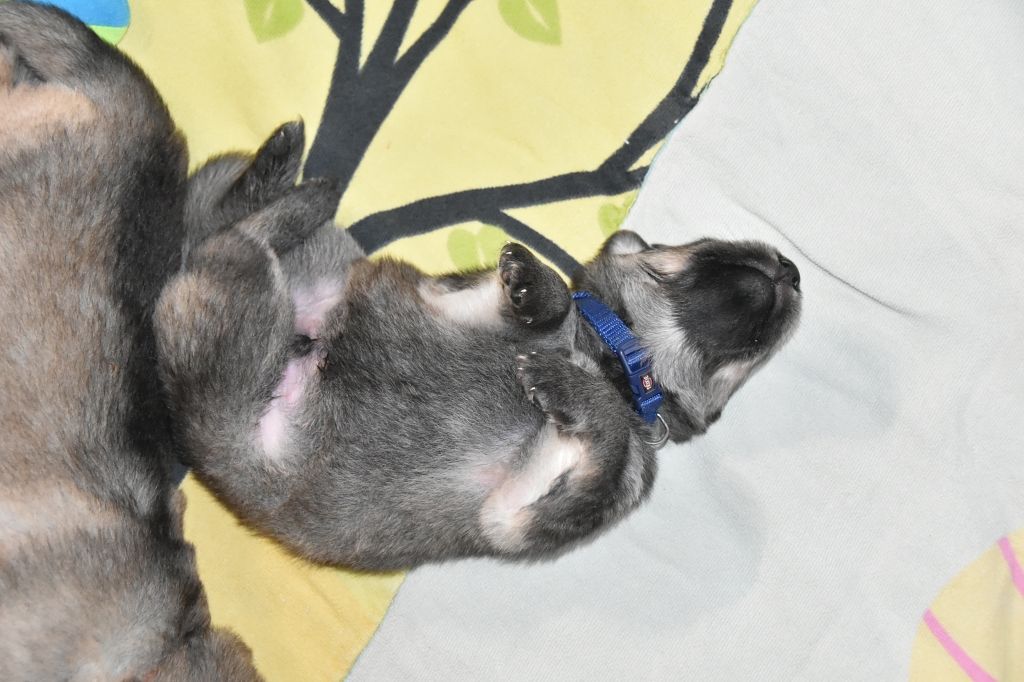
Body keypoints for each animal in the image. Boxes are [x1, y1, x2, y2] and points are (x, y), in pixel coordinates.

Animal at [156, 124, 802, 571]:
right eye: (709, 246)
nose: (793, 271)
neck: (609, 361)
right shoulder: (449, 298)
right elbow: (547, 300)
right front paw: (535, 287)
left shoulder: (515, 513)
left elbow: (609, 439)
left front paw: (564, 385)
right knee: (229, 225)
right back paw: (292, 175)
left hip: (243, 326)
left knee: (226, 233)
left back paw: (291, 184)